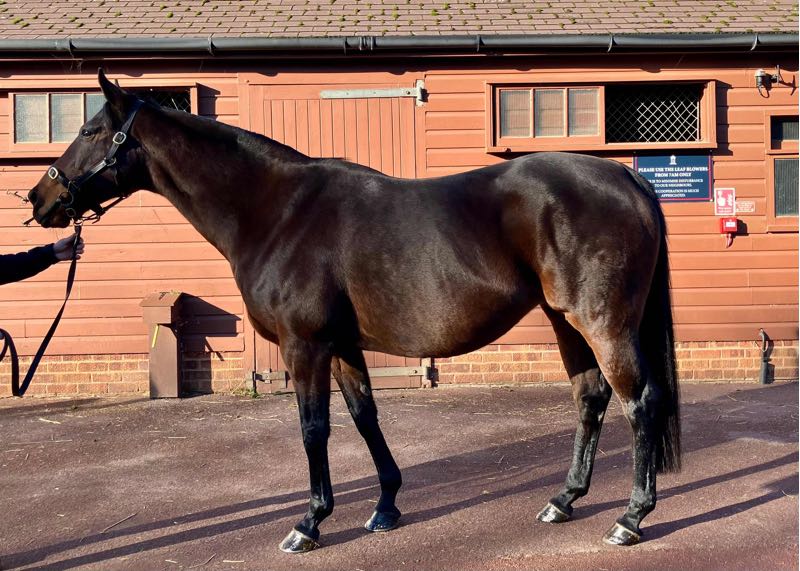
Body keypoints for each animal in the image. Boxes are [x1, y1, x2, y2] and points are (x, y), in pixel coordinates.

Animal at [27, 70, 680, 552]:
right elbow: (366, 418)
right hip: (563, 319)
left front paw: (309, 522)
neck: (278, 212)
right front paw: (385, 505)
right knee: (591, 398)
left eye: (90, 129)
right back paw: (563, 500)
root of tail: (625, 177)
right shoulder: (342, 345)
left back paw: (630, 517)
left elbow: (313, 428)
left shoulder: (305, 346)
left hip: (602, 323)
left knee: (639, 402)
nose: (40, 197)